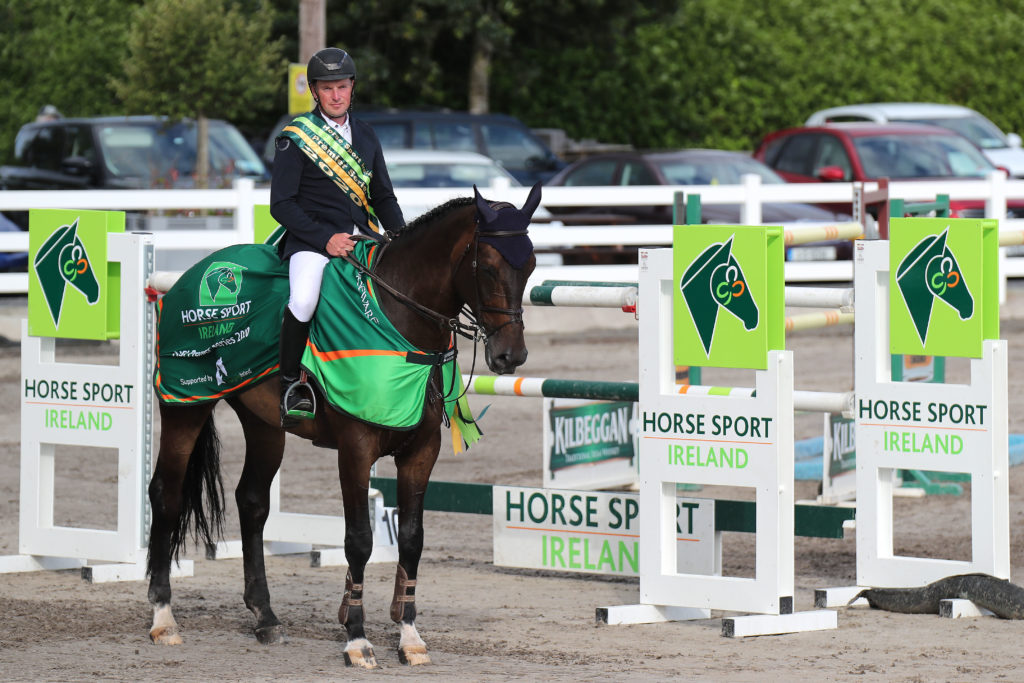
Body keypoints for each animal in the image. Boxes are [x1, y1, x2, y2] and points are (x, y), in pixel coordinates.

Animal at [149, 183, 544, 667]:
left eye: (530, 264)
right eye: (486, 266)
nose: (510, 356)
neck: (397, 326)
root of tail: (191, 275)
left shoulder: (422, 451)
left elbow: (411, 539)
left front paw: (409, 637)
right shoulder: (356, 447)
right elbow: (358, 540)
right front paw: (356, 639)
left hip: (264, 423)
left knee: (252, 502)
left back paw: (265, 618)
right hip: (186, 405)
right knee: (166, 495)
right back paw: (163, 618)